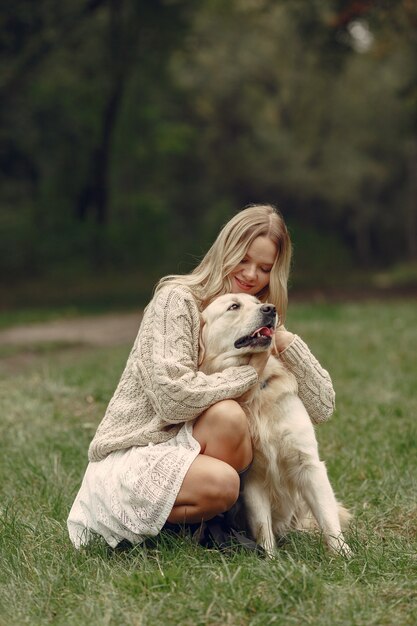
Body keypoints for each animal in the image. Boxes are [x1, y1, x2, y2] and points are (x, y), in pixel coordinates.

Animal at [199, 292, 352, 556]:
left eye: (258, 302)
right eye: (234, 306)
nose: (271, 309)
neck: (256, 391)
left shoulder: (308, 465)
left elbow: (328, 518)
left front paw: (343, 555)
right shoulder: (253, 479)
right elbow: (263, 527)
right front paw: (269, 559)